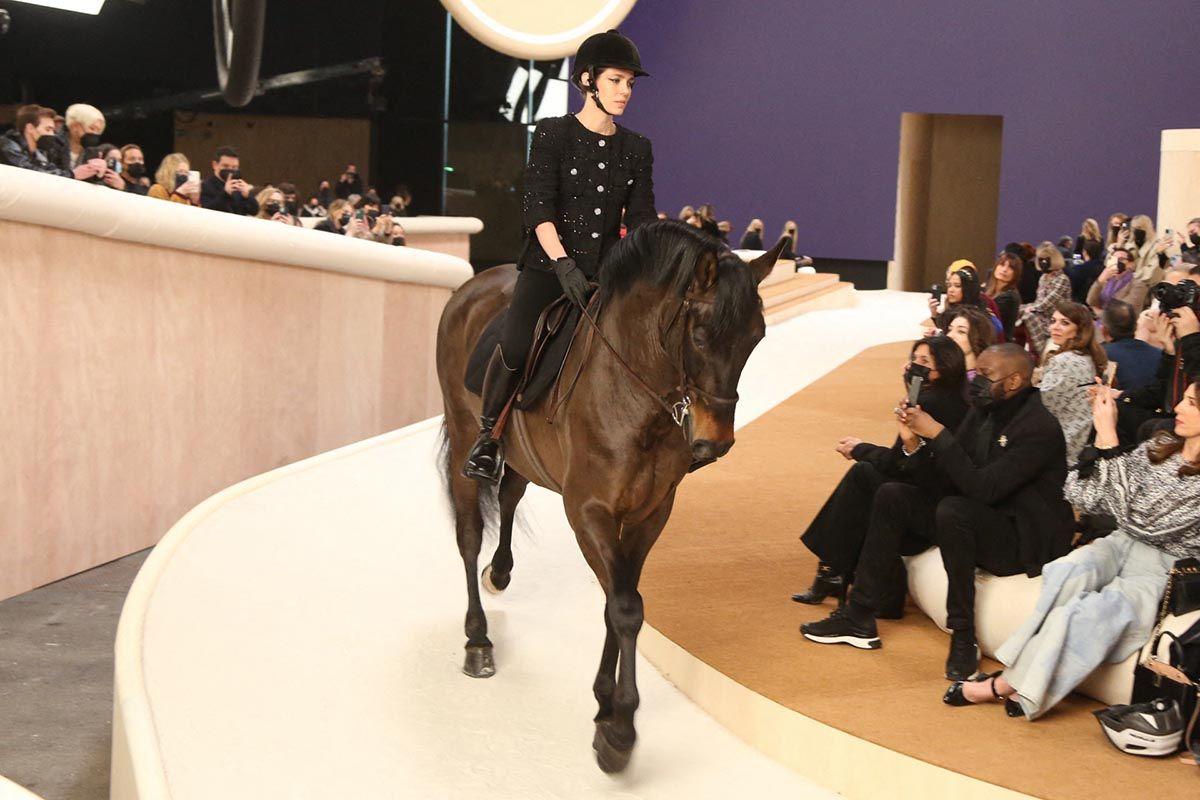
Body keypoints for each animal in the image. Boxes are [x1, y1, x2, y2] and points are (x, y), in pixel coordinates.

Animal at [436, 219, 782, 767]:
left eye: (756, 337)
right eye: (700, 335)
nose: (715, 444)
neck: (635, 396)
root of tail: (472, 285)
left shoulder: (649, 512)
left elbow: (618, 598)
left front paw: (604, 702)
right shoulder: (589, 510)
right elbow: (624, 607)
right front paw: (618, 731)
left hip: (525, 455)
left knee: (510, 494)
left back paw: (501, 571)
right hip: (464, 433)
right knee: (469, 534)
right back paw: (478, 640)